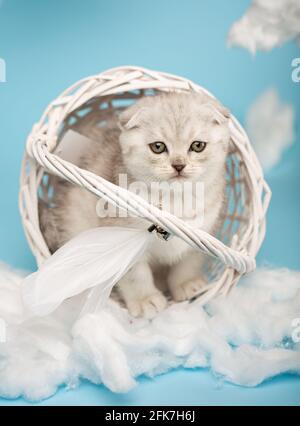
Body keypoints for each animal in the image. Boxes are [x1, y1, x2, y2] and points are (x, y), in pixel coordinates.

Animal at [39, 91, 231, 318]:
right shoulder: (118, 233)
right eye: (158, 147)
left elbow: (189, 260)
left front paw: (187, 283)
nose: (179, 165)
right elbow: (135, 273)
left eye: (198, 145)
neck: (175, 200)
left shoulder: (204, 231)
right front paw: (145, 299)